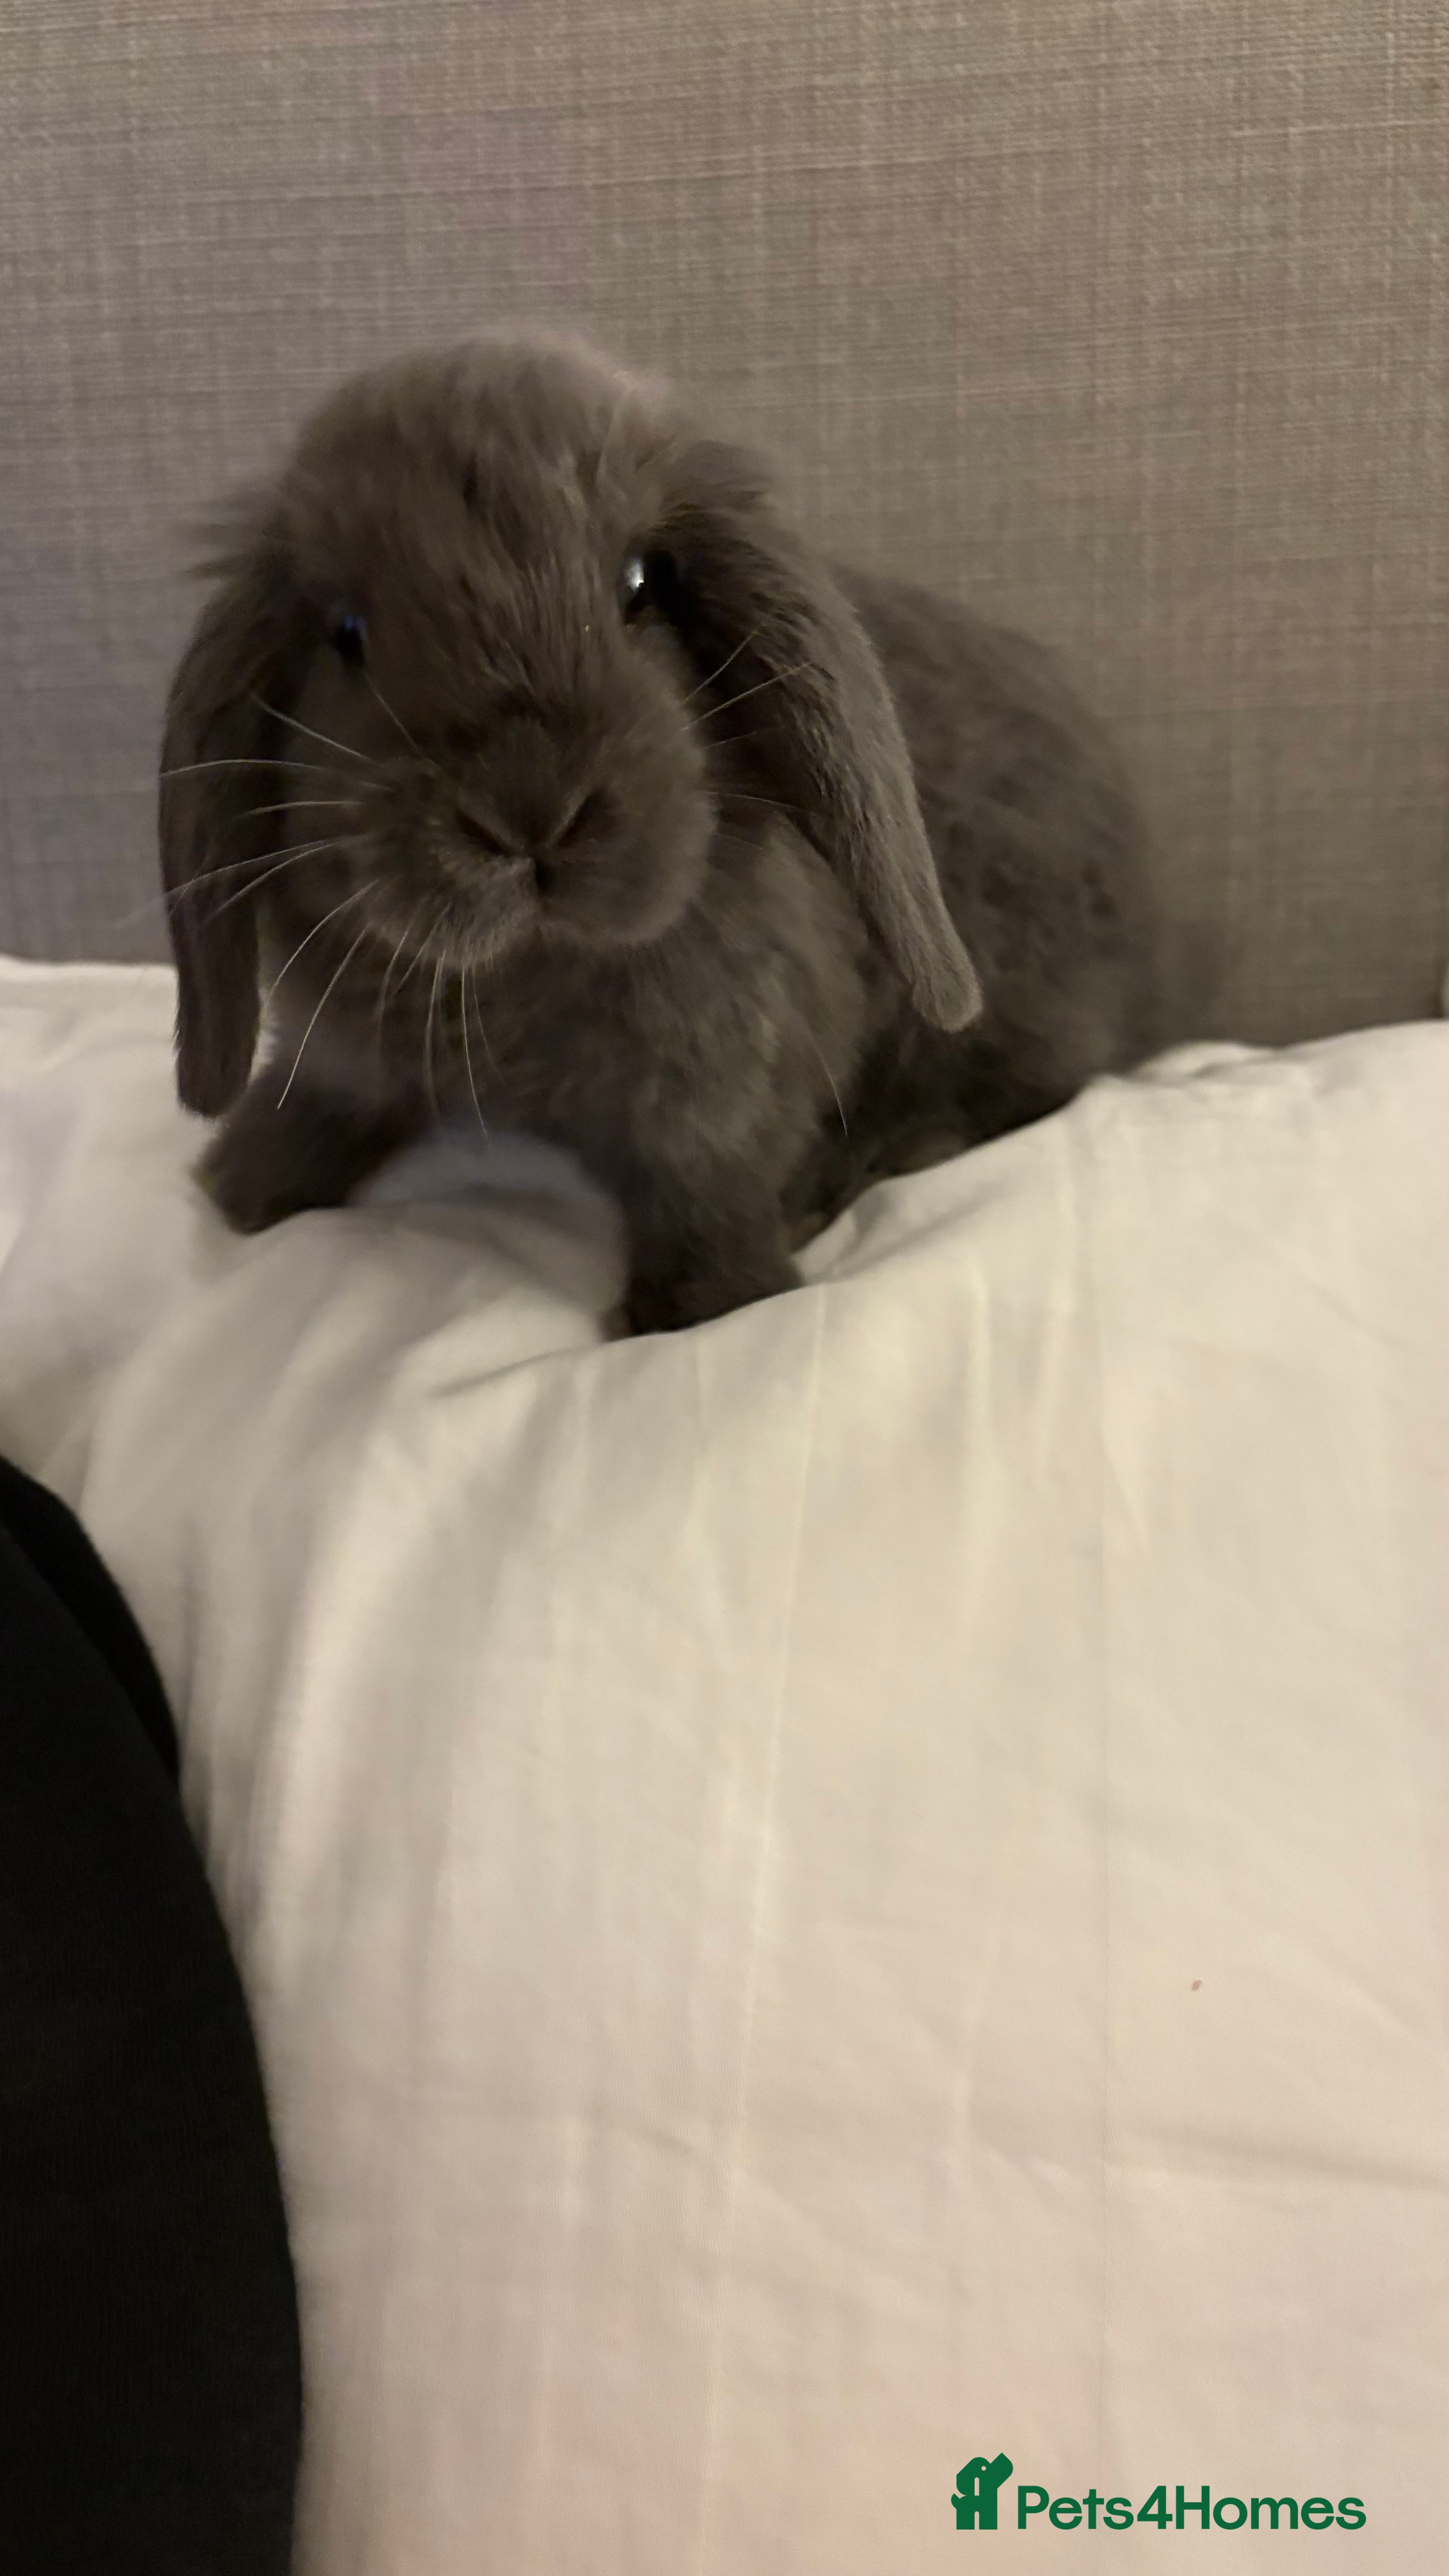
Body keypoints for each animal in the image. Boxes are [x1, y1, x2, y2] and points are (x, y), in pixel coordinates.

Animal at [159, 332, 1154, 1334]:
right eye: (347, 632)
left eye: (644, 584)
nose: (529, 812)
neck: (528, 970)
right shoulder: (340, 1054)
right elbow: (321, 1101)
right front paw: (239, 1186)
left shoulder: (720, 1096)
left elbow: (704, 1192)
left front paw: (704, 1307)